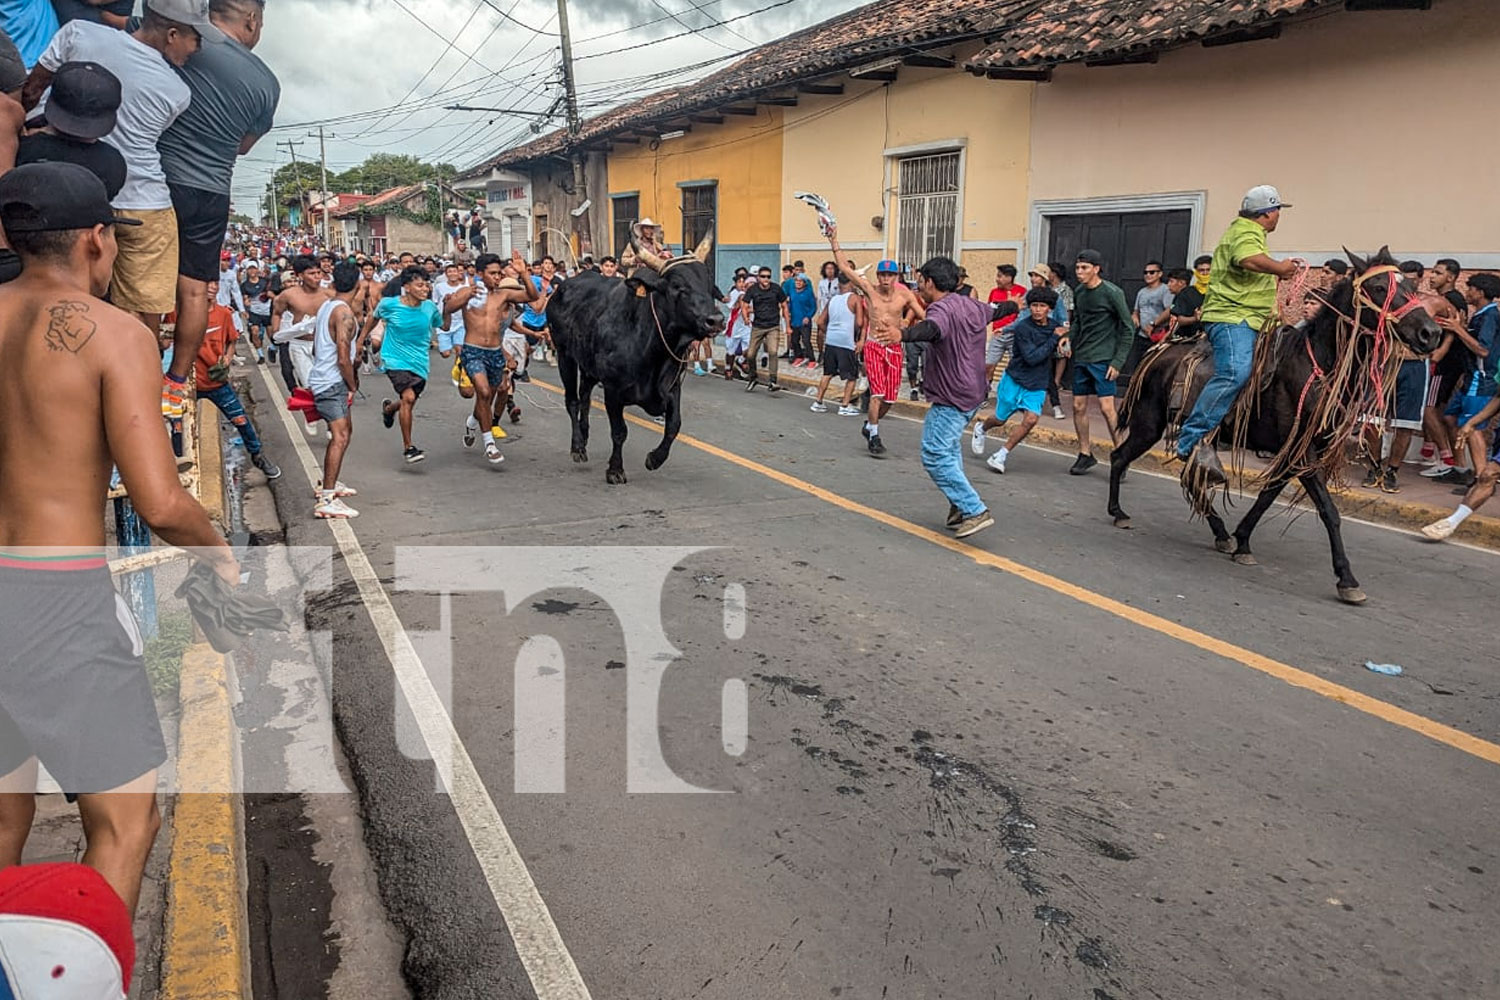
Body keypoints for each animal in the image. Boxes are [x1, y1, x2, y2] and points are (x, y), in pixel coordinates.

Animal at [546, 260, 720, 482]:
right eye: (677, 286)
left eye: (710, 286)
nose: (716, 320)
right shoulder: (613, 390)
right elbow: (619, 432)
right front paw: (615, 470)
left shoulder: (672, 388)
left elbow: (674, 425)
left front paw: (655, 459)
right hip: (564, 355)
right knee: (572, 401)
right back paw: (577, 447)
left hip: (588, 366)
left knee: (584, 397)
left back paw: (584, 436)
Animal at [1116, 251, 1440, 602]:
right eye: (1379, 287)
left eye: (1413, 287)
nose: (1431, 333)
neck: (1319, 364)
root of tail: (1156, 354)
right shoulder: (1302, 452)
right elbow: (1329, 511)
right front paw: (1347, 579)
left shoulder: (1295, 454)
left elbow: (1267, 496)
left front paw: (1242, 541)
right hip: (1149, 423)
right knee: (1122, 458)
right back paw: (1118, 513)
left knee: (1191, 477)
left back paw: (1221, 534)